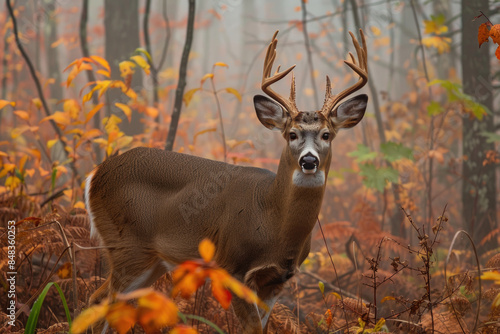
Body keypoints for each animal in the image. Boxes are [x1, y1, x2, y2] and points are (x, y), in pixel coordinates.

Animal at [85, 29, 368, 334]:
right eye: (292, 134)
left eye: (327, 135)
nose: (309, 161)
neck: (274, 222)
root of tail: (95, 175)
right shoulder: (232, 266)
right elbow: (252, 329)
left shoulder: (277, 280)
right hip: (127, 245)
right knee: (100, 301)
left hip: (152, 260)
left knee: (105, 301)